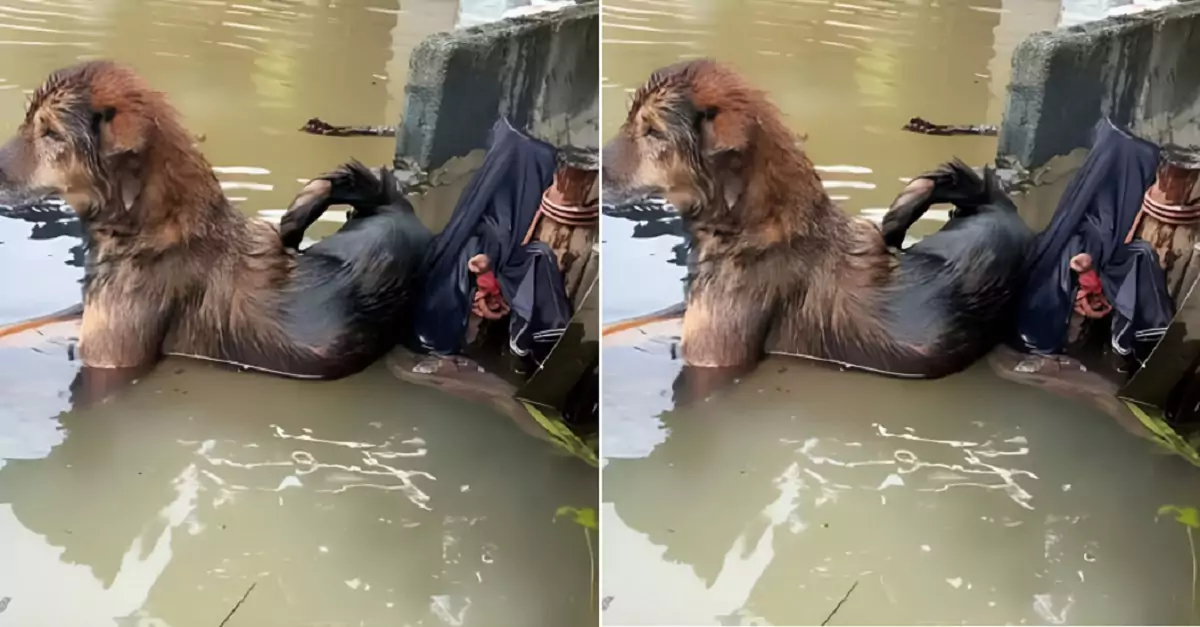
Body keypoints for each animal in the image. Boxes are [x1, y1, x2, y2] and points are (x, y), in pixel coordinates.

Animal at [0, 60, 432, 386]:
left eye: (51, 133)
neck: (148, 229)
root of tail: (397, 208)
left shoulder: (110, 359)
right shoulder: (82, 313)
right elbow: (21, 328)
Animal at [604, 59, 1036, 379]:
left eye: (653, 131)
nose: (595, 168)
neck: (751, 228)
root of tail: (999, 205)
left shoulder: (713, 358)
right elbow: (621, 328)